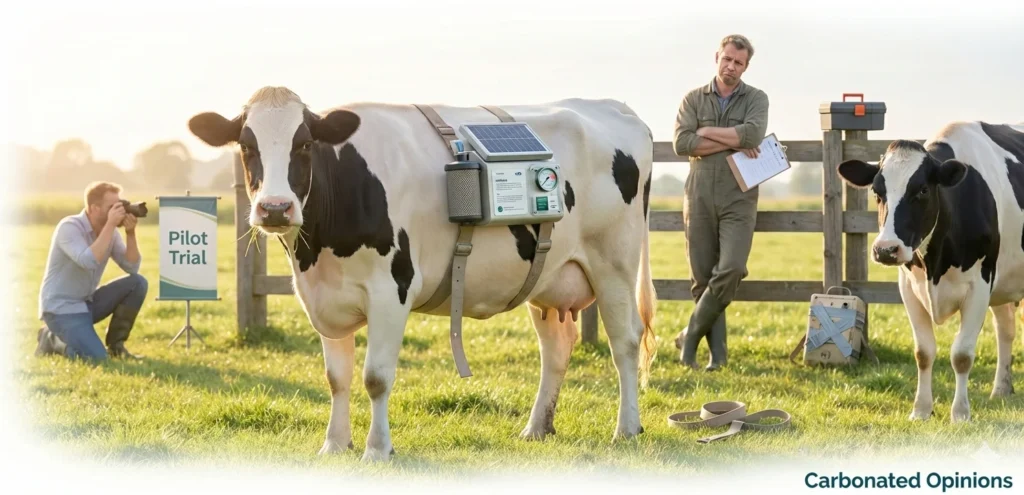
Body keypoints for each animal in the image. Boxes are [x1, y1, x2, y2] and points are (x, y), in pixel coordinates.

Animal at [186, 86, 658, 461]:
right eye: (246, 146)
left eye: (303, 145)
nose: (275, 208)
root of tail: (614, 106)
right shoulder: (322, 295)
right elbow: (336, 379)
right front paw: (334, 445)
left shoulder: (390, 290)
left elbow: (375, 377)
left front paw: (378, 450)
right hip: (549, 276)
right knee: (556, 349)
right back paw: (536, 428)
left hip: (614, 264)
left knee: (625, 343)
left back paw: (626, 429)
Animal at [836, 121, 1024, 423]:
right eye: (877, 192)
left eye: (923, 190)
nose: (886, 249)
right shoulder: (909, 288)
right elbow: (923, 352)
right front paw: (921, 410)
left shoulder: (980, 286)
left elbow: (962, 354)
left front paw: (960, 413)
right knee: (1005, 329)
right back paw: (1001, 390)